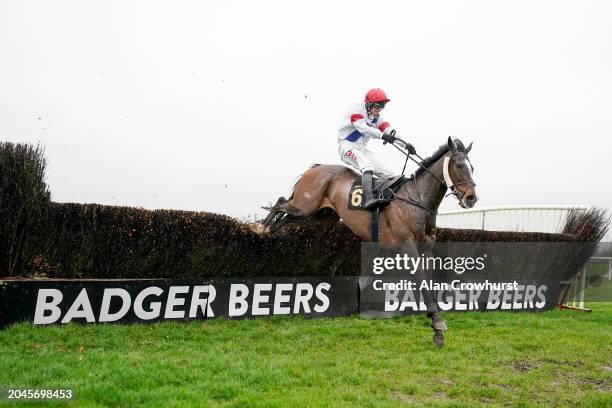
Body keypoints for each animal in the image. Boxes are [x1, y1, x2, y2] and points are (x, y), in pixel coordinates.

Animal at [260, 138, 476, 348]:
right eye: (459, 165)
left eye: (472, 167)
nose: (471, 198)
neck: (417, 199)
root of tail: (316, 168)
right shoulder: (407, 244)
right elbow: (420, 279)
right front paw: (437, 322)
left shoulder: (427, 246)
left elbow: (427, 281)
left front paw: (436, 329)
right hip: (305, 205)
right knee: (280, 202)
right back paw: (261, 227)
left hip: (320, 217)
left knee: (286, 216)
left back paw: (271, 227)